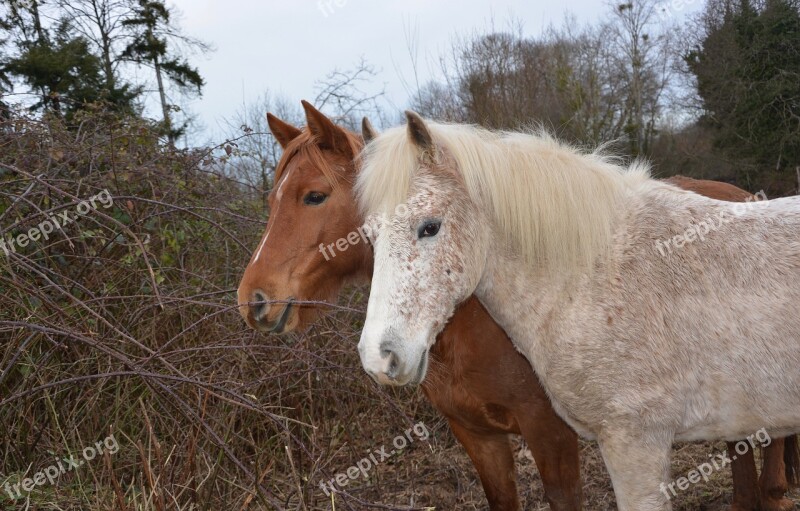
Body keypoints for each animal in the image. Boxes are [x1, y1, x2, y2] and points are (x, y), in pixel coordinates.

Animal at [238, 101, 800, 511]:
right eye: (368, 234)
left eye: (314, 196)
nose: (254, 300)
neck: (597, 274)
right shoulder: (484, 437)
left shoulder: (622, 444)